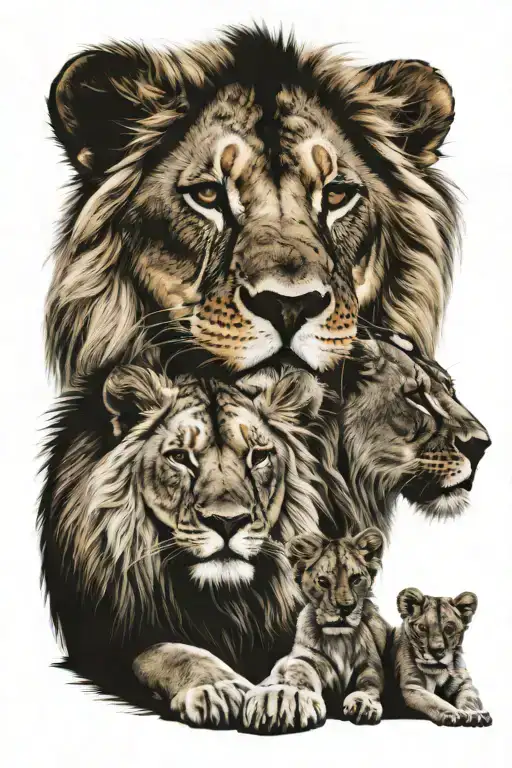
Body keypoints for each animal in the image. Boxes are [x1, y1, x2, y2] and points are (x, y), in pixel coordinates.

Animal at [38, 363, 357, 726]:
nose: (228, 521)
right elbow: (171, 652)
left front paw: (283, 695)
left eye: (258, 456)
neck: (226, 603)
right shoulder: (110, 642)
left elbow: (299, 659)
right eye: (180, 457)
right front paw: (218, 687)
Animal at [242, 527, 388, 734]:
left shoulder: (370, 664)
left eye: (356, 579)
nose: (345, 608)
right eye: (323, 581)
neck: (339, 640)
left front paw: (364, 703)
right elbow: (300, 676)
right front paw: (291, 700)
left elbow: (369, 684)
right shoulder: (306, 658)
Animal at [394, 587, 492, 727]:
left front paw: (474, 714)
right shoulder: (412, 687)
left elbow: (469, 700)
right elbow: (435, 701)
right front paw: (455, 714)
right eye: (422, 627)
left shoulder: (465, 685)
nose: (437, 651)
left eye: (449, 628)